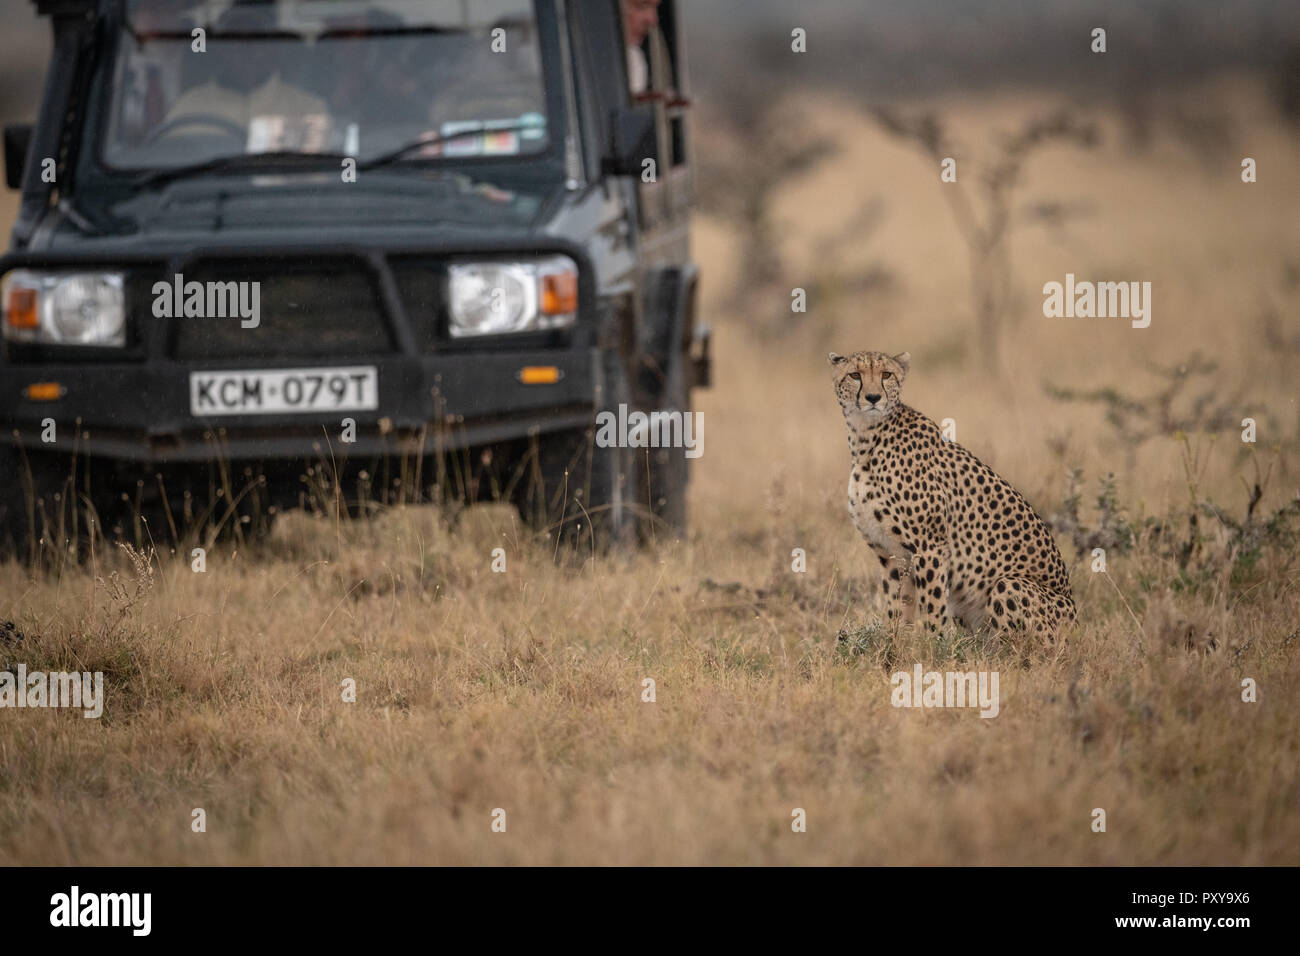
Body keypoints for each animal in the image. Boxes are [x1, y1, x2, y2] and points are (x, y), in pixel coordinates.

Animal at [829, 349, 1077, 639]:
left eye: (886, 375)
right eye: (855, 375)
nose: (872, 398)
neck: (866, 439)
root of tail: (1078, 624)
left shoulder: (930, 547)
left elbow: (933, 608)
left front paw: (933, 646)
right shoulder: (891, 555)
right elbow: (897, 609)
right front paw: (894, 644)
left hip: (1008, 585)